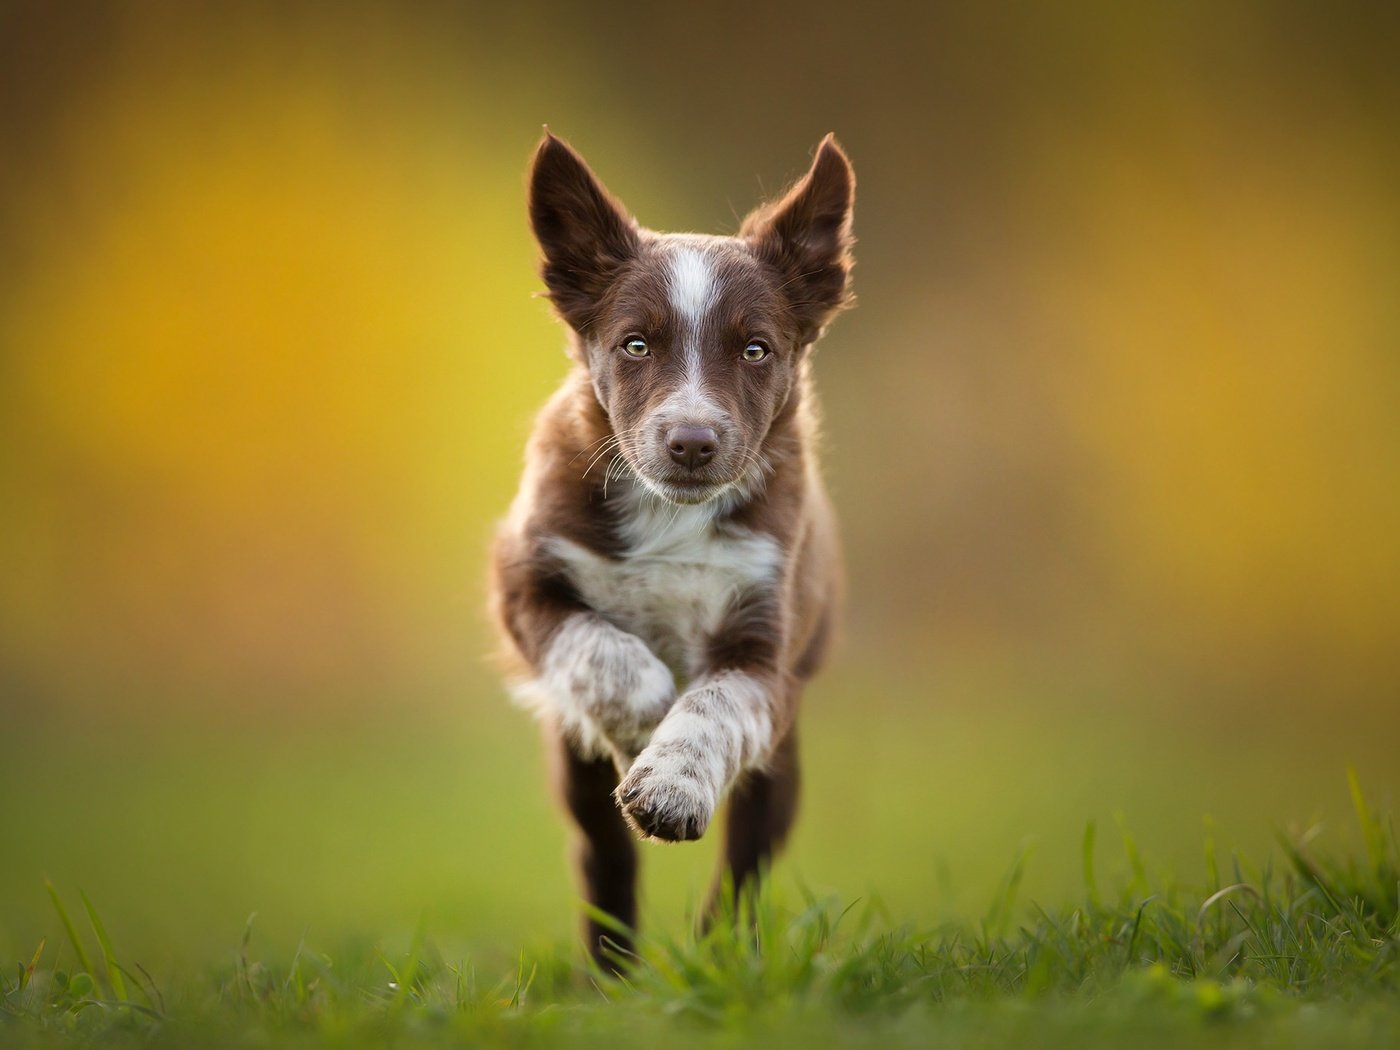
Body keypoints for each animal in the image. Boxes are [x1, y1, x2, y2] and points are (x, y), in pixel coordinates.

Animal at [492, 131, 851, 968]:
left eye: (755, 350)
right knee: (603, 855)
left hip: (780, 765)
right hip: (575, 773)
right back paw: (611, 972)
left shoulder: (765, 648)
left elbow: (712, 706)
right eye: (635, 345)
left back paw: (720, 954)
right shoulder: (522, 581)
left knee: (747, 862)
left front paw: (670, 783)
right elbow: (599, 649)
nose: (692, 442)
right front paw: (644, 722)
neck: (670, 513)